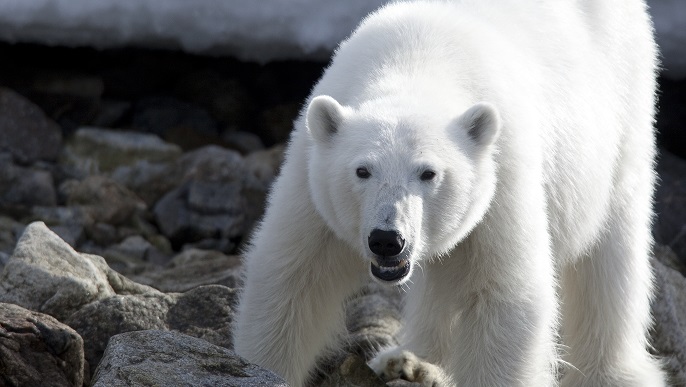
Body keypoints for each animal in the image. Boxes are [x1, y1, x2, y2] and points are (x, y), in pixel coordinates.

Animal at [235, 0, 668, 386]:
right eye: (362, 170)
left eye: (428, 173)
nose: (387, 240)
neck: (416, 61)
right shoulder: (311, 178)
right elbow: (291, 276)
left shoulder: (500, 174)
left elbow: (504, 295)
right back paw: (407, 359)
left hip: (623, 109)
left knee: (610, 253)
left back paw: (613, 374)